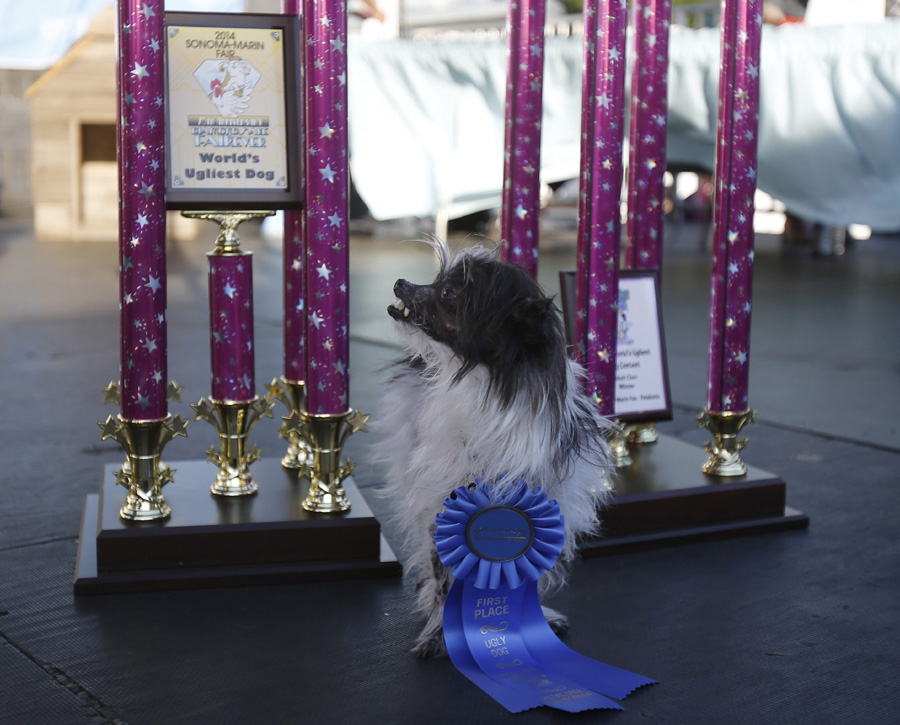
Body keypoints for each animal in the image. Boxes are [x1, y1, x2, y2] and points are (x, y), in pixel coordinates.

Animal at [376, 242, 616, 656]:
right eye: (439, 281)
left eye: (448, 292)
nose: (401, 283)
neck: (485, 388)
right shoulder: (443, 500)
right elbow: (444, 576)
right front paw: (440, 630)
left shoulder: (538, 504)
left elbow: (524, 576)